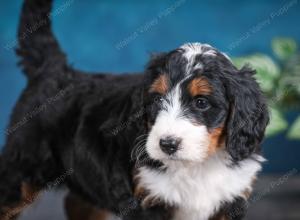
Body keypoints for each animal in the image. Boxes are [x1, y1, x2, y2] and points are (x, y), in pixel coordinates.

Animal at [0, 0, 268, 220]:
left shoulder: (231, 199)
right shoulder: (146, 198)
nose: (167, 144)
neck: (196, 166)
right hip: (21, 168)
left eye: (201, 102)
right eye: (157, 99)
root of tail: (54, 69)